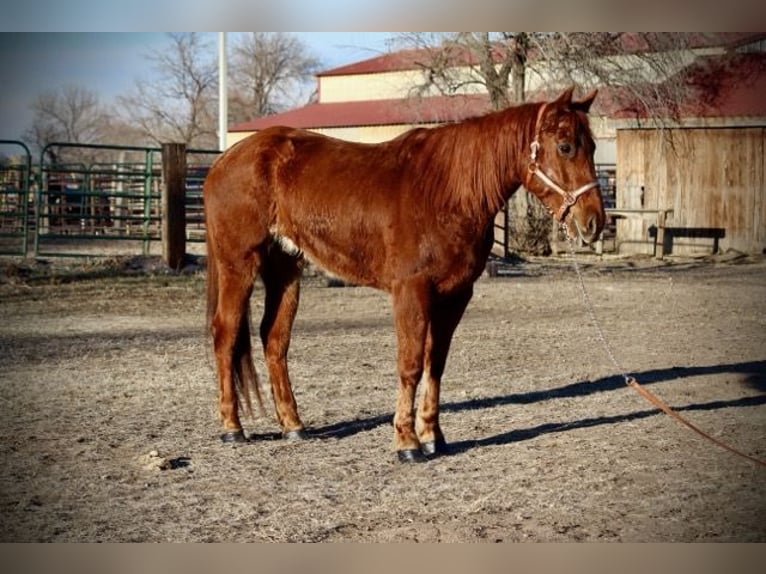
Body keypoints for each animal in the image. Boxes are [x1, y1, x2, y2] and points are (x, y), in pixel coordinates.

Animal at [204, 86, 608, 464]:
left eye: (593, 146)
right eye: (566, 146)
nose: (594, 222)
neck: (447, 191)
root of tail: (224, 161)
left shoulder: (455, 295)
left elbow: (435, 365)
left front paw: (433, 437)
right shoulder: (411, 291)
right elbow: (411, 364)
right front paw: (407, 442)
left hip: (285, 268)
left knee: (274, 339)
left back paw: (293, 426)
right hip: (239, 263)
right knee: (225, 333)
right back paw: (231, 428)